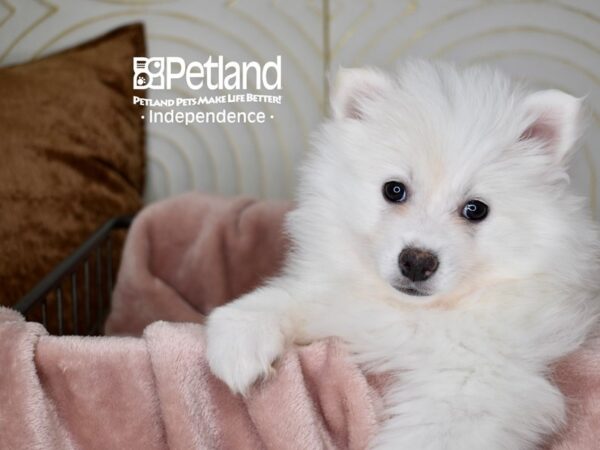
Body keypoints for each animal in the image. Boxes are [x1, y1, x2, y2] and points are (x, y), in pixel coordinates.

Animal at [205, 60, 600, 450]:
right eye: (394, 190)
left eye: (475, 209)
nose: (417, 262)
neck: (412, 311)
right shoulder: (336, 301)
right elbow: (288, 297)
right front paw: (240, 340)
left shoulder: (478, 380)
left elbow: (434, 435)